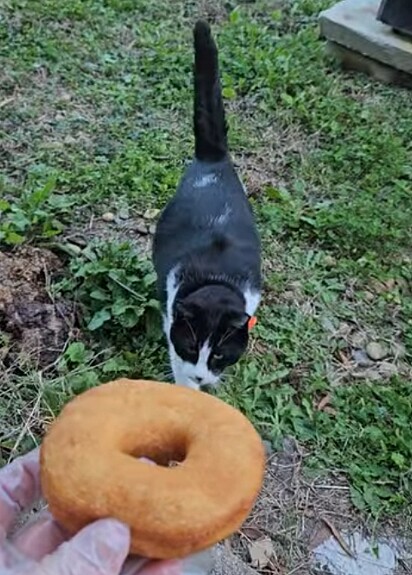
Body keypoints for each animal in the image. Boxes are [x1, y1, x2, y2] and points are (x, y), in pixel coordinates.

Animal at [151, 19, 260, 392]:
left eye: (220, 355)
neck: (215, 278)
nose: (202, 375)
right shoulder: (171, 315)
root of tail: (212, 160)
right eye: (190, 346)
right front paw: (188, 390)